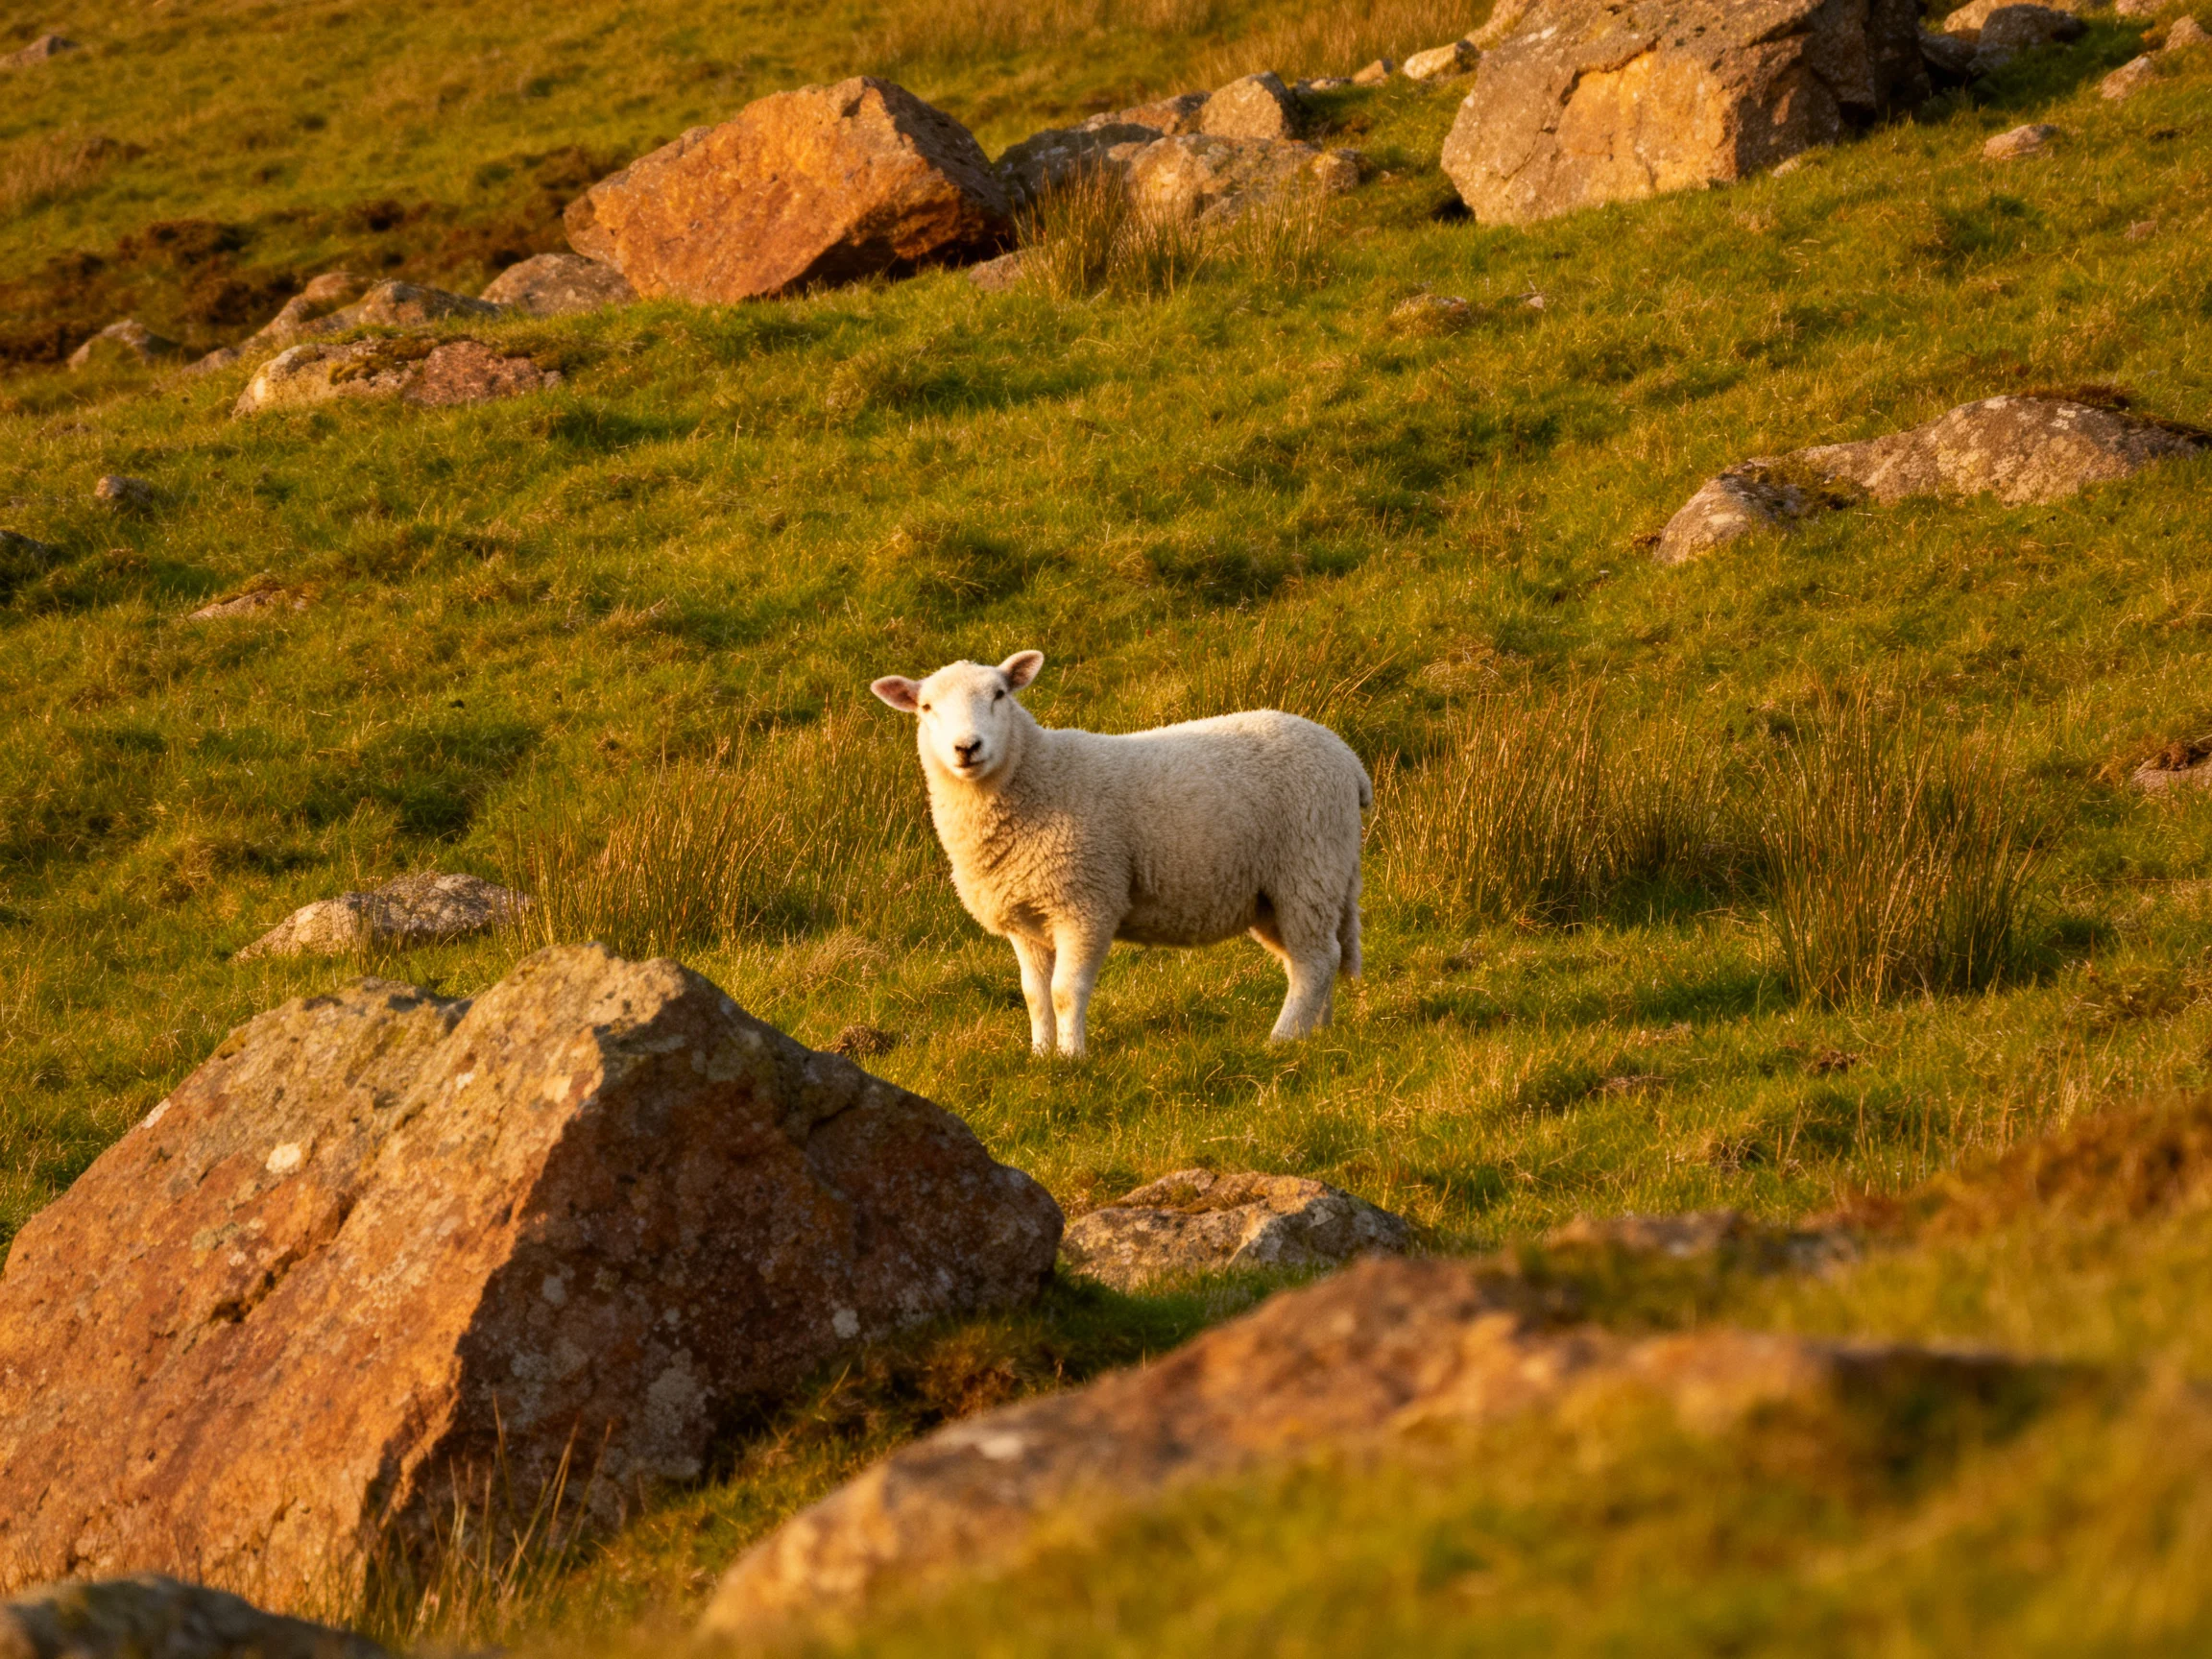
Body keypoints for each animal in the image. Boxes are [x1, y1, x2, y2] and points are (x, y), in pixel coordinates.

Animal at [869, 650, 1371, 1056]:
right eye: (927, 708)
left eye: (999, 694)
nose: (967, 747)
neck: (1038, 776)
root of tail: (1349, 760)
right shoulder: (1026, 921)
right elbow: (1034, 996)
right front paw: (1040, 1057)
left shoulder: (1086, 904)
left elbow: (1065, 992)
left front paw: (1072, 1059)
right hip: (1281, 891)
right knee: (1310, 960)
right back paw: (1315, 1033)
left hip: (1309, 867)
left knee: (1315, 961)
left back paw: (1281, 1040)